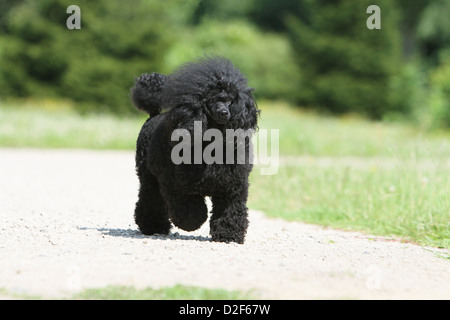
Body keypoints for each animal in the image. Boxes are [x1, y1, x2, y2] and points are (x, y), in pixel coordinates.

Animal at [128, 57, 258, 242]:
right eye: (211, 100)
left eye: (230, 100)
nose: (224, 113)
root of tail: (154, 115)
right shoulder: (175, 184)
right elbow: (190, 211)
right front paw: (192, 222)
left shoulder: (233, 185)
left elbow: (230, 209)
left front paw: (228, 234)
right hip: (148, 176)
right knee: (150, 199)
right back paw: (153, 227)